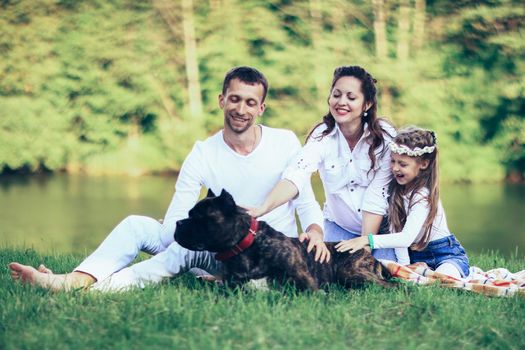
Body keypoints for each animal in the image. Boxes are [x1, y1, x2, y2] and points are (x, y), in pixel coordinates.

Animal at [173, 190, 392, 292]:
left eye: (198, 217)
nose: (178, 222)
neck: (246, 247)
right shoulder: (231, 287)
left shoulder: (309, 286)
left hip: (350, 272)